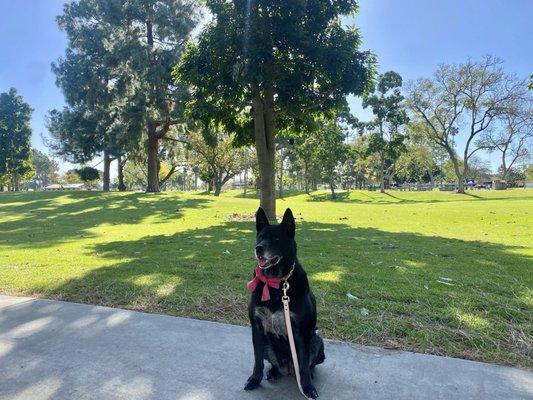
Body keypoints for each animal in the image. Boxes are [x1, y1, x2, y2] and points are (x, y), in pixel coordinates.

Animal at [243, 208, 322, 398]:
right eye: (260, 237)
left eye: (277, 239)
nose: (258, 248)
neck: (275, 283)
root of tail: (288, 368)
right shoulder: (257, 328)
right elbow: (257, 360)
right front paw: (254, 380)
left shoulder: (302, 332)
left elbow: (304, 366)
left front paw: (307, 387)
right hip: (267, 344)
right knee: (273, 363)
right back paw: (273, 372)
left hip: (316, 339)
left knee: (308, 365)